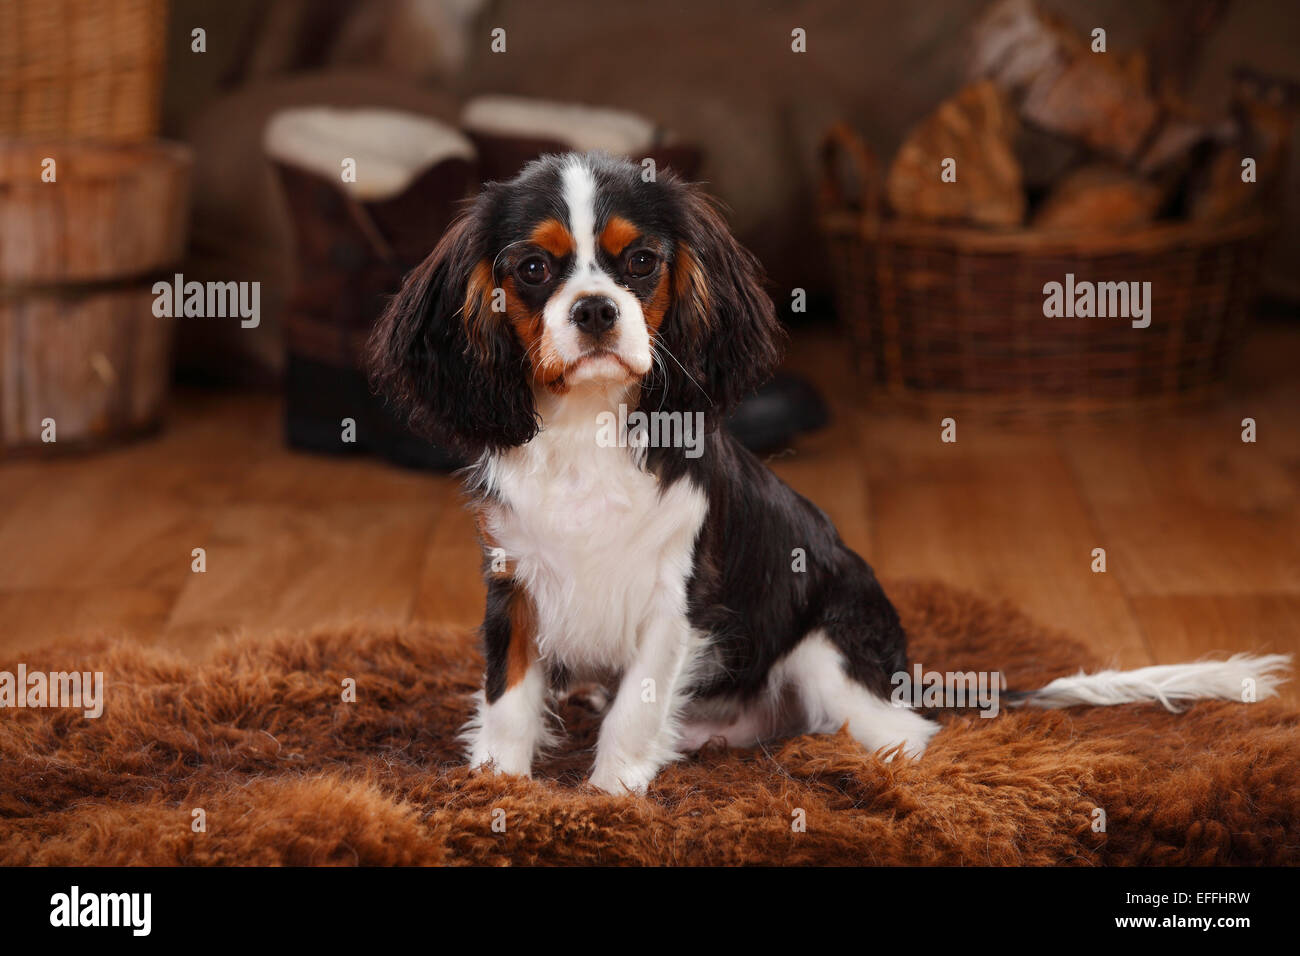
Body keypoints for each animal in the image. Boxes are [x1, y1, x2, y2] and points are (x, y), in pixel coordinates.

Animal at [369, 153, 1289, 790]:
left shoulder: (677, 597)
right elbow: (511, 691)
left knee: (905, 734)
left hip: (828, 652)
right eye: (533, 269)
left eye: (640, 264)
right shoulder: (515, 583)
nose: (595, 311)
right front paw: (500, 786)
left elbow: (636, 706)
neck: (590, 428)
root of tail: (904, 678)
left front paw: (611, 793)